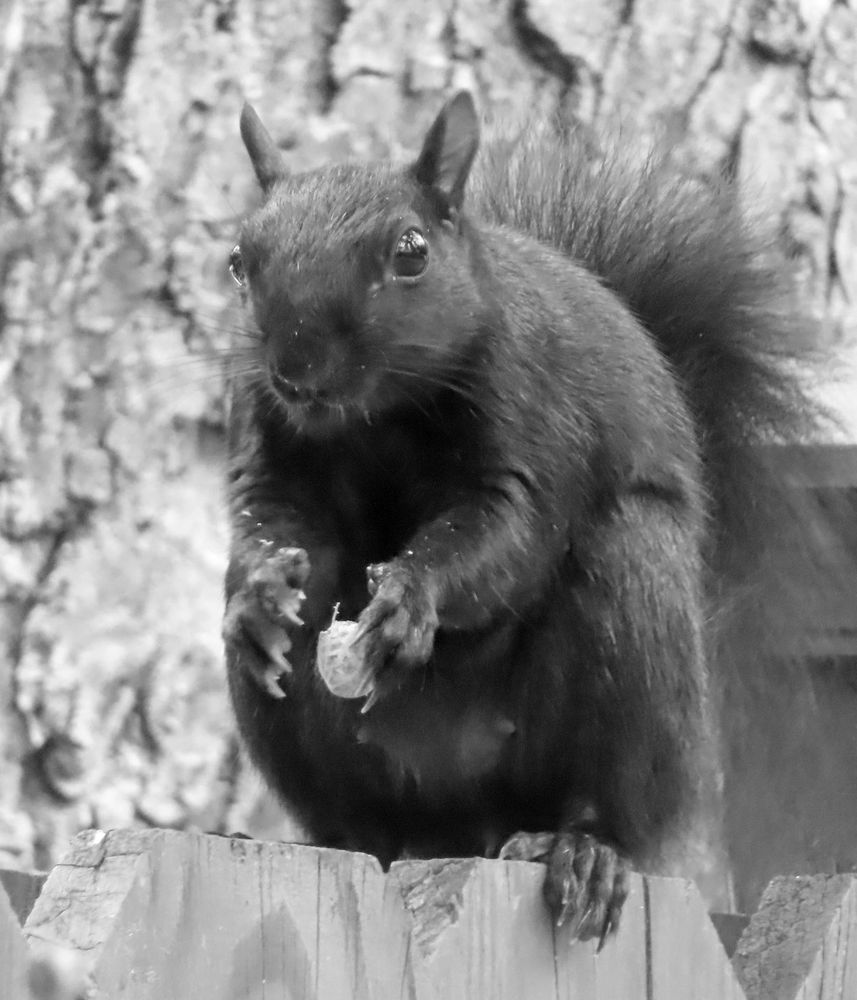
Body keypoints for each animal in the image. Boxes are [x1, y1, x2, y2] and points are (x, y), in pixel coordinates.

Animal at [221, 91, 825, 942]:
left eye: (410, 252)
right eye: (239, 262)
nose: (295, 369)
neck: (379, 417)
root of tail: (460, 807)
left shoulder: (532, 420)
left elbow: (505, 534)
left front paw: (409, 598)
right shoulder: (273, 448)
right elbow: (272, 517)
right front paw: (258, 599)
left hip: (632, 631)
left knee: (613, 800)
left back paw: (585, 851)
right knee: (362, 820)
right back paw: (339, 835)